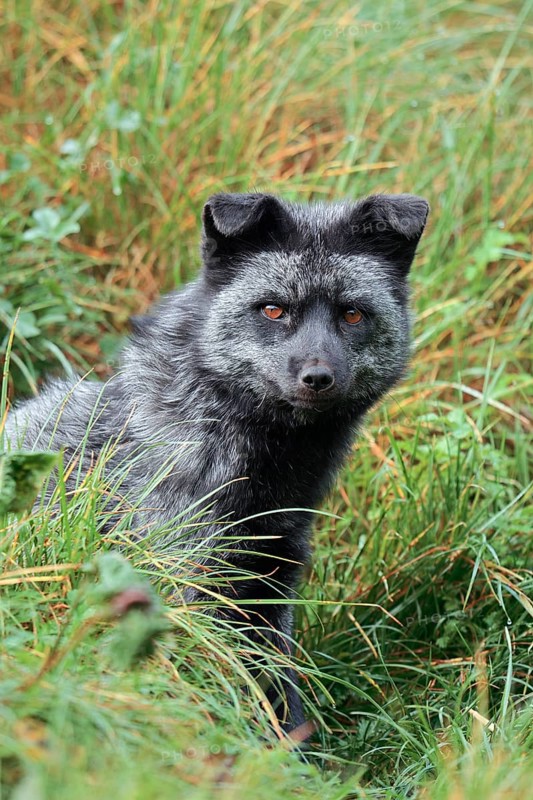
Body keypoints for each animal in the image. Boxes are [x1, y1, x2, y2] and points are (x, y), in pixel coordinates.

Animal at [4, 191, 429, 732]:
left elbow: (277, 687)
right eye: (273, 309)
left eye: (352, 314)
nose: (317, 377)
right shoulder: (185, 574)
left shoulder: (270, 581)